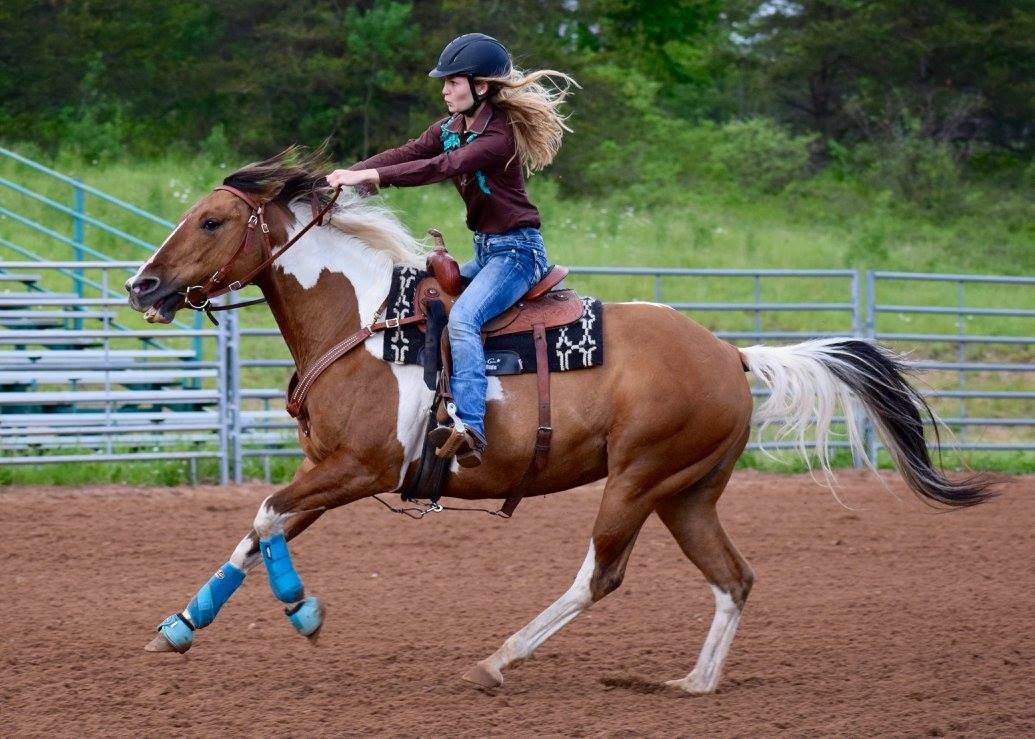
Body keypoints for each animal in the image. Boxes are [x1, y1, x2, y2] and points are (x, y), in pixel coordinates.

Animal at [125, 148, 992, 694]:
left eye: (210, 221)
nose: (142, 286)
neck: (365, 320)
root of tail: (730, 353)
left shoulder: (357, 469)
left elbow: (265, 516)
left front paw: (301, 610)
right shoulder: (325, 471)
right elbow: (259, 524)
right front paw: (180, 626)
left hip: (637, 480)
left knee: (599, 574)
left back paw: (497, 660)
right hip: (686, 493)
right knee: (734, 576)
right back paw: (694, 682)